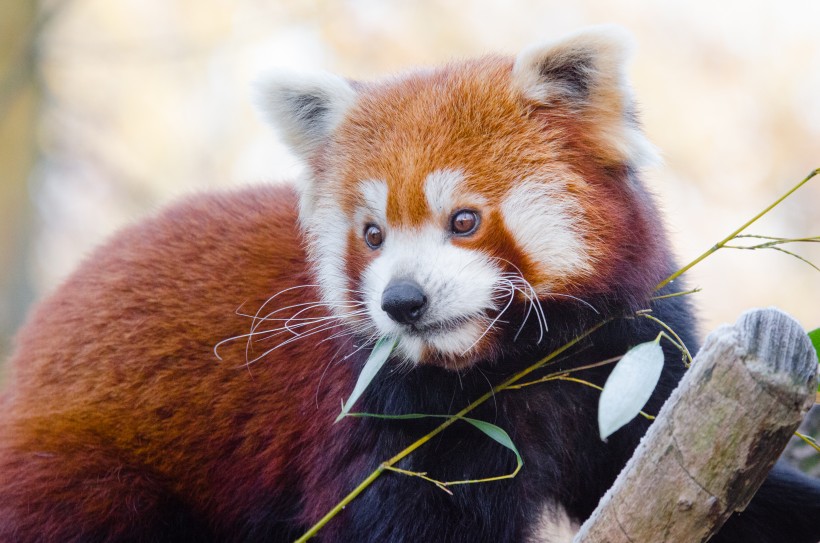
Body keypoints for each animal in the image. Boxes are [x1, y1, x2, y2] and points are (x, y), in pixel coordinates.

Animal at [1, 25, 820, 543]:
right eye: (372, 234)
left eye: (464, 220)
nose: (403, 301)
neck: (509, 363)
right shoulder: (380, 415)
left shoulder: (622, 363)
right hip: (78, 474)